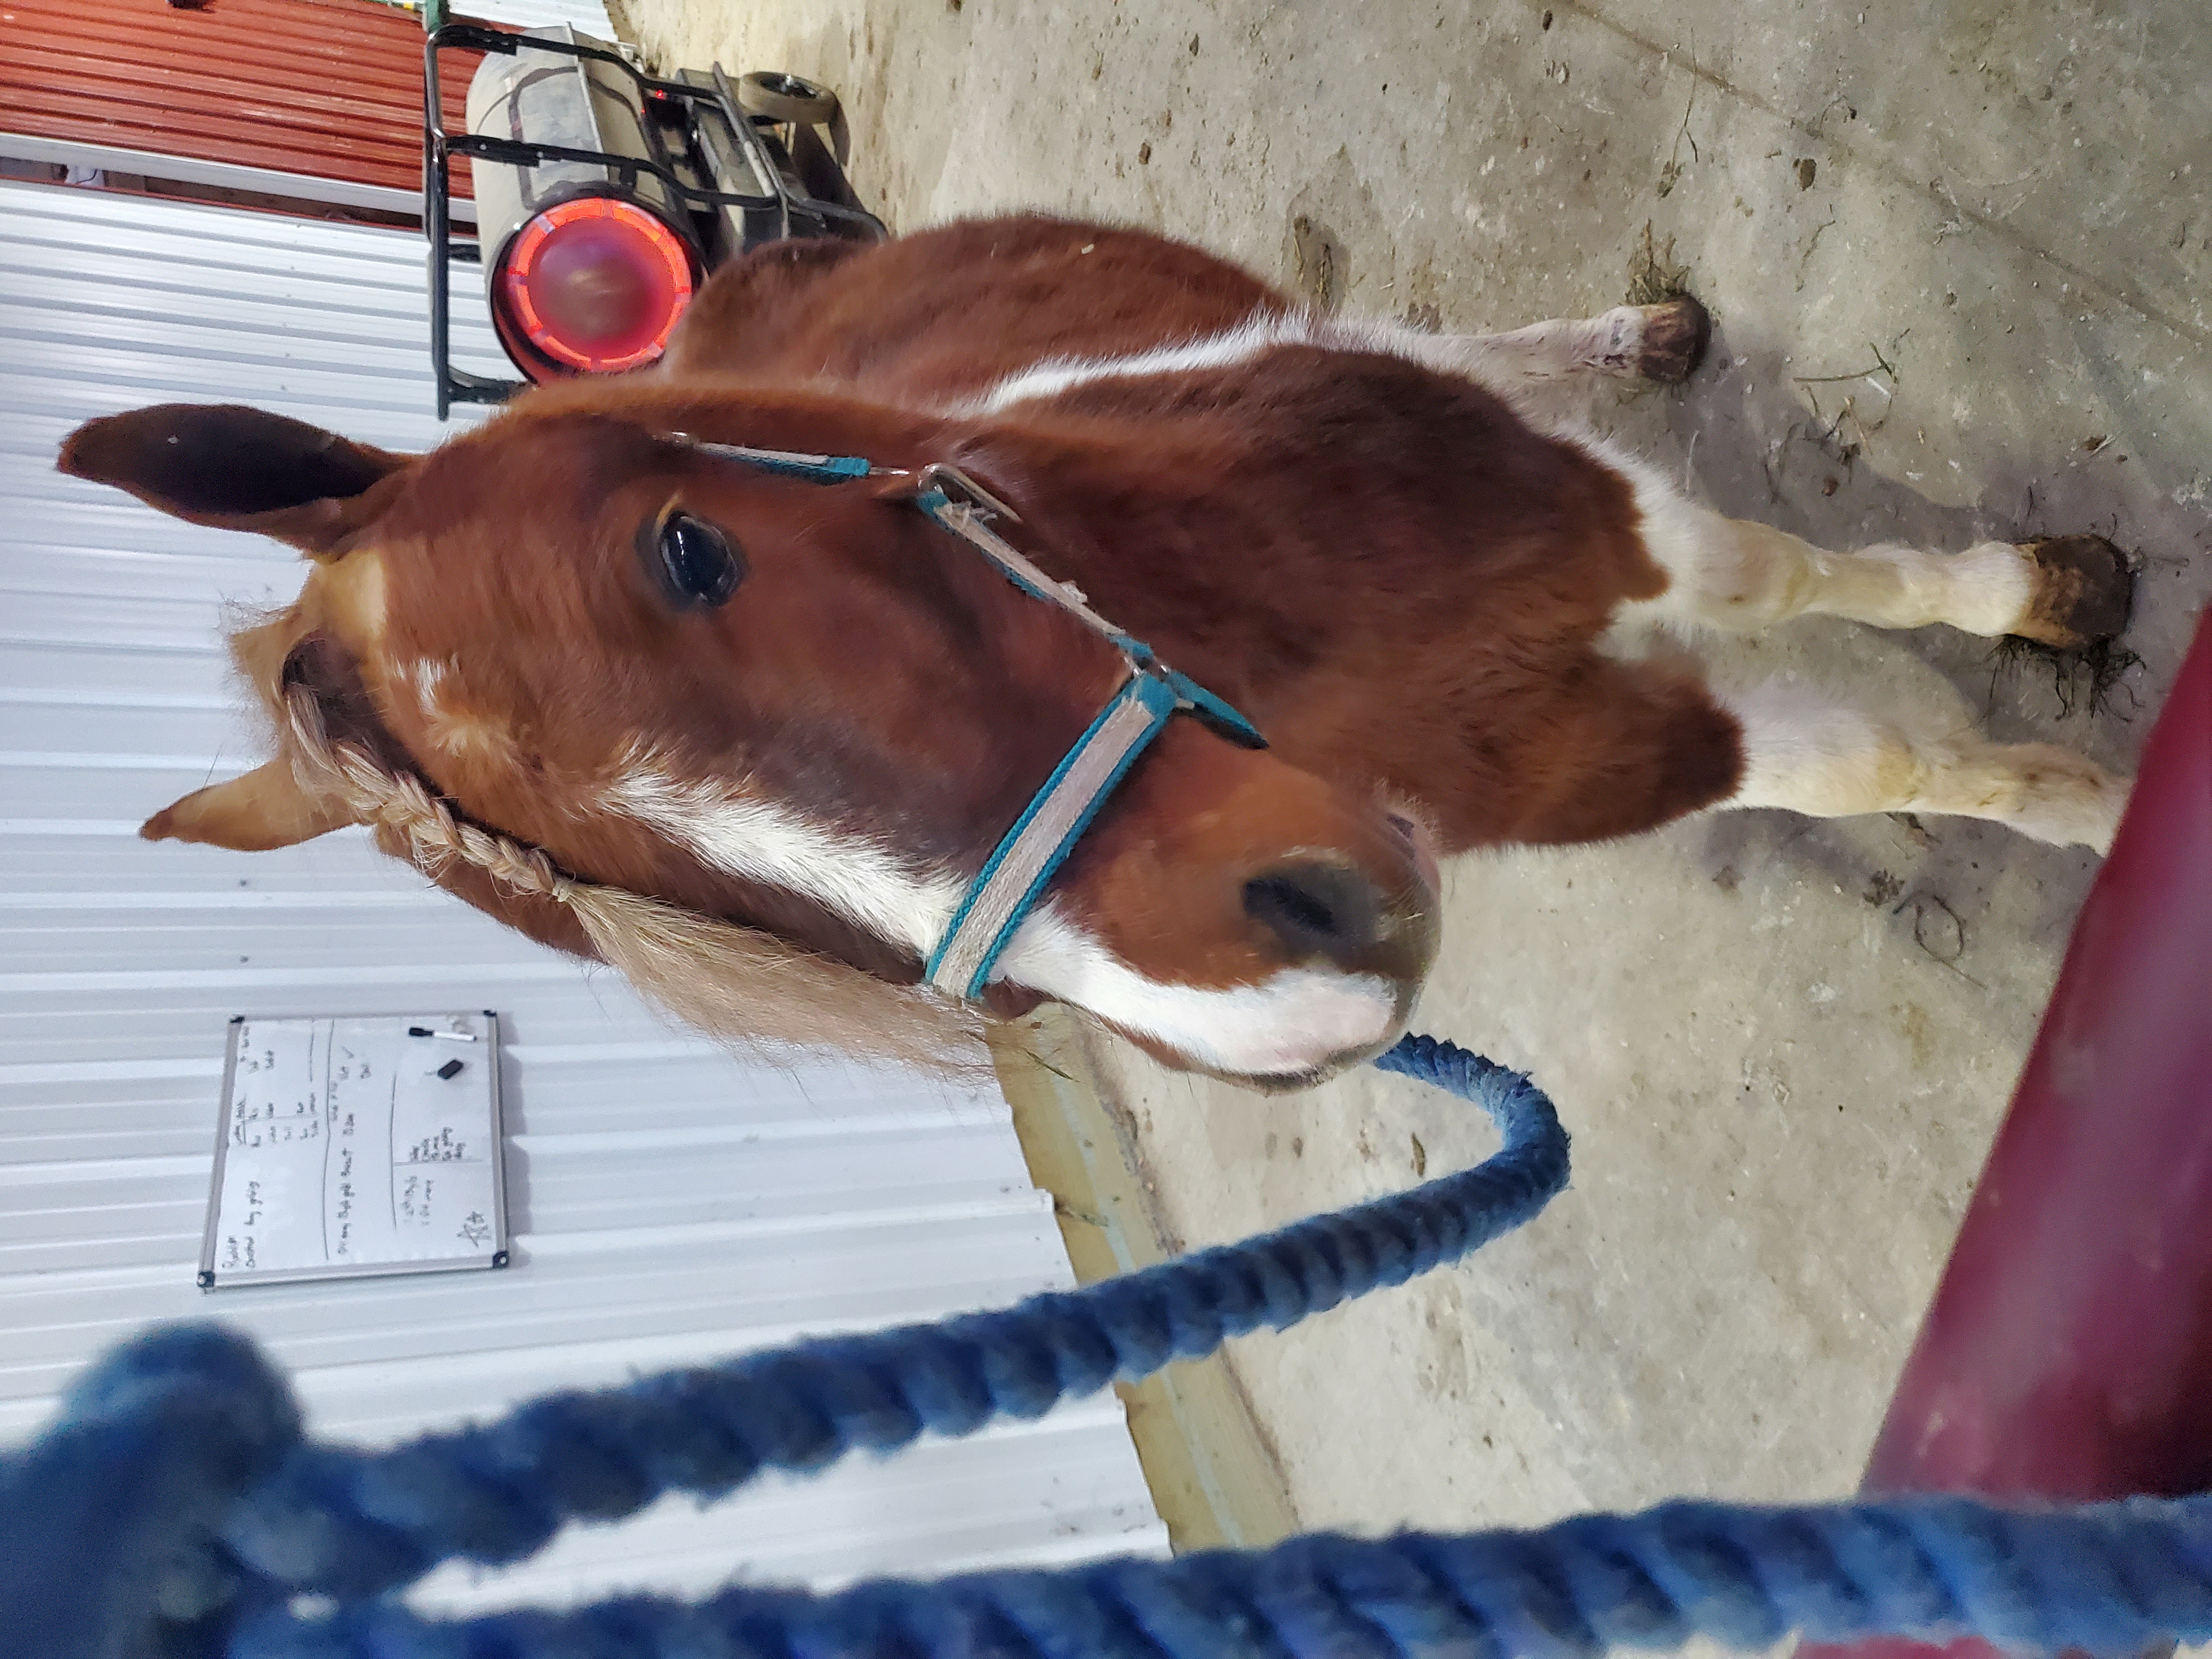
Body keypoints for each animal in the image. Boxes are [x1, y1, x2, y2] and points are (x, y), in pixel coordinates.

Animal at [57, 214, 2135, 1089]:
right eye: (720, 924)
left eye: (690, 548)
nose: (1300, 994)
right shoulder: (1574, 754)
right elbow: (1860, 750)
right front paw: (2086, 796)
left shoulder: (1603, 530)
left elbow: (1820, 604)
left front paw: (2055, 625)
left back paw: (1642, 336)